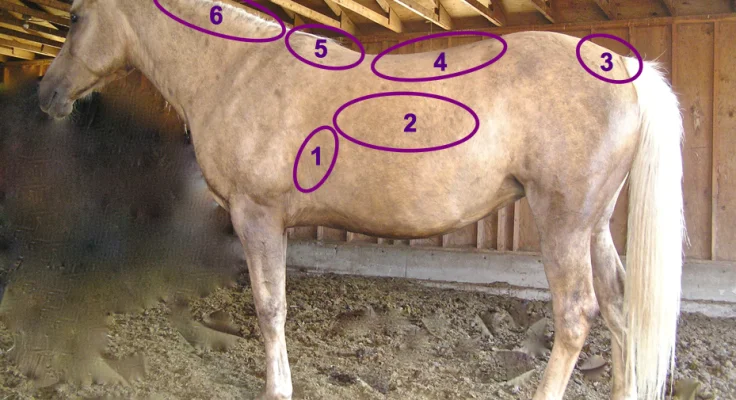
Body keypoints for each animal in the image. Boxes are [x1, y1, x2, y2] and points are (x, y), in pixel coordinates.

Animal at [38, 0, 685, 398]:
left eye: (74, 17)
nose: (46, 94)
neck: (237, 71)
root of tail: (625, 71)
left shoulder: (256, 215)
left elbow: (269, 307)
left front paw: (277, 387)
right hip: (594, 226)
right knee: (620, 309)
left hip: (564, 224)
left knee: (576, 317)